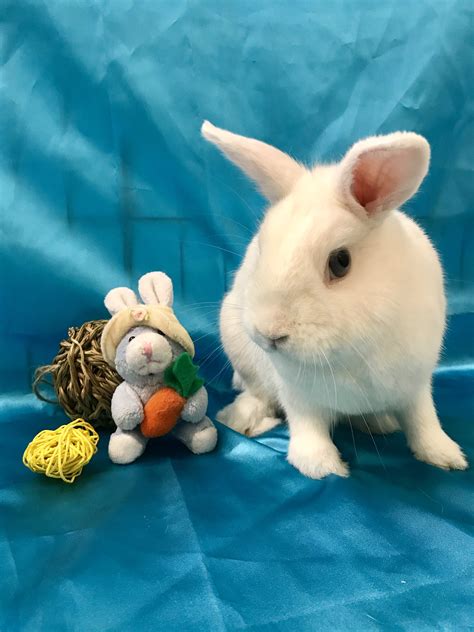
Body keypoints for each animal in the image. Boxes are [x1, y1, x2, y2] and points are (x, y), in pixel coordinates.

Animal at [202, 121, 468, 478]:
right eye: (260, 248)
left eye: (341, 262)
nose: (268, 334)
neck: (349, 350)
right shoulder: (297, 393)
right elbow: (308, 426)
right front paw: (321, 466)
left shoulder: (415, 384)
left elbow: (423, 420)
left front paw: (446, 456)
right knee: (257, 394)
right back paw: (241, 419)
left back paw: (380, 422)